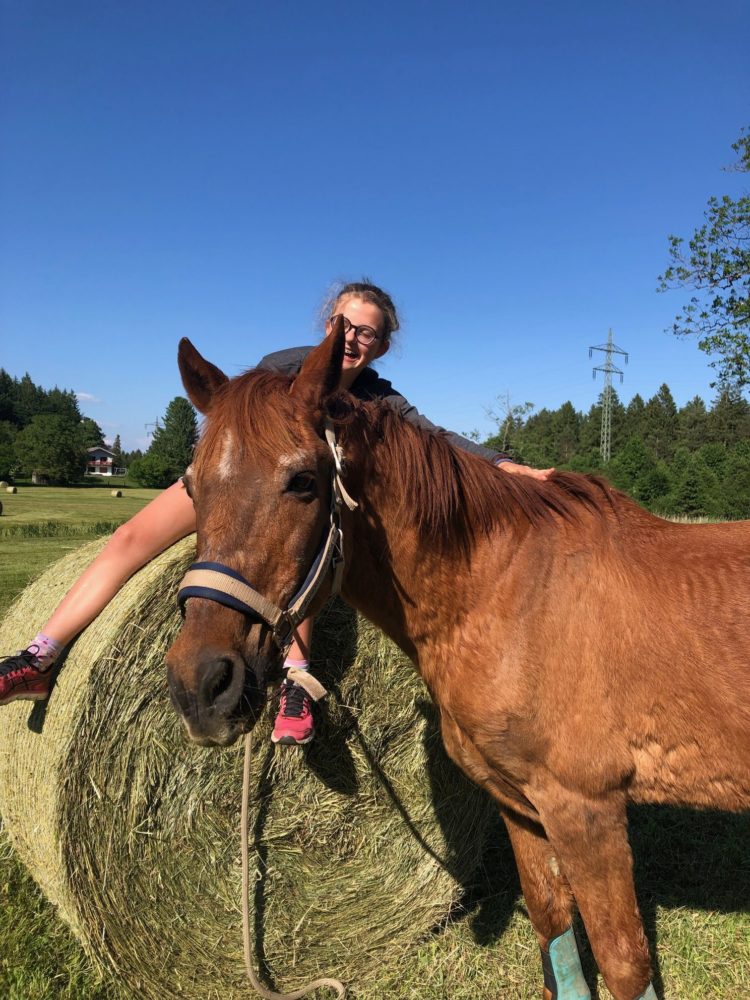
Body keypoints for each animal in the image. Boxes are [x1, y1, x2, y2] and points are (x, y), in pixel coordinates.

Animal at [167, 324, 748, 996]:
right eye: (191, 486)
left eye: (304, 481)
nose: (202, 684)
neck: (511, 592)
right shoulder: (522, 805)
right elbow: (554, 933)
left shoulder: (588, 811)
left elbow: (625, 964)